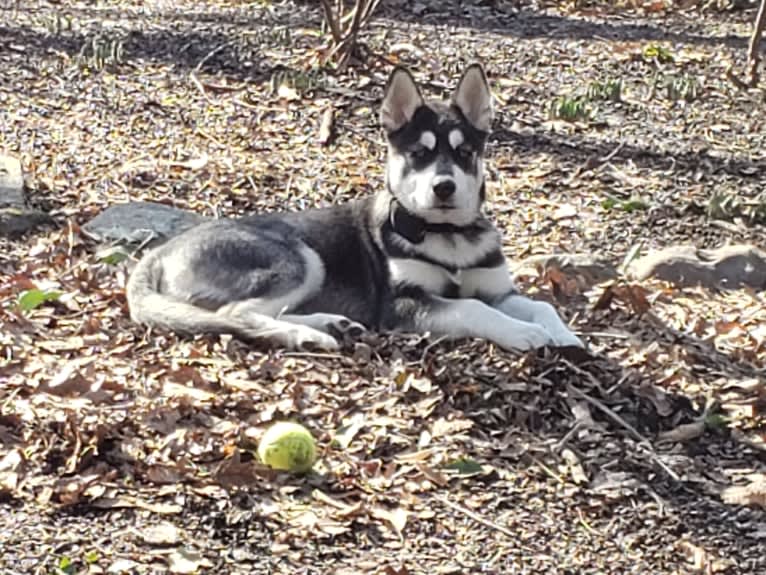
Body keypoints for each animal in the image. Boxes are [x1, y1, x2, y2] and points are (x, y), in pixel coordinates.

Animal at [126, 63, 584, 352]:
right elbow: (472, 308)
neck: (447, 235)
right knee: (237, 314)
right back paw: (307, 337)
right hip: (297, 259)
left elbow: (539, 304)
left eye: (465, 153)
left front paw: (565, 336)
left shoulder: (498, 289)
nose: (444, 188)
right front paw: (523, 334)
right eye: (419, 154)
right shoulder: (402, 304)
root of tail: (161, 251)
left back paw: (329, 324)